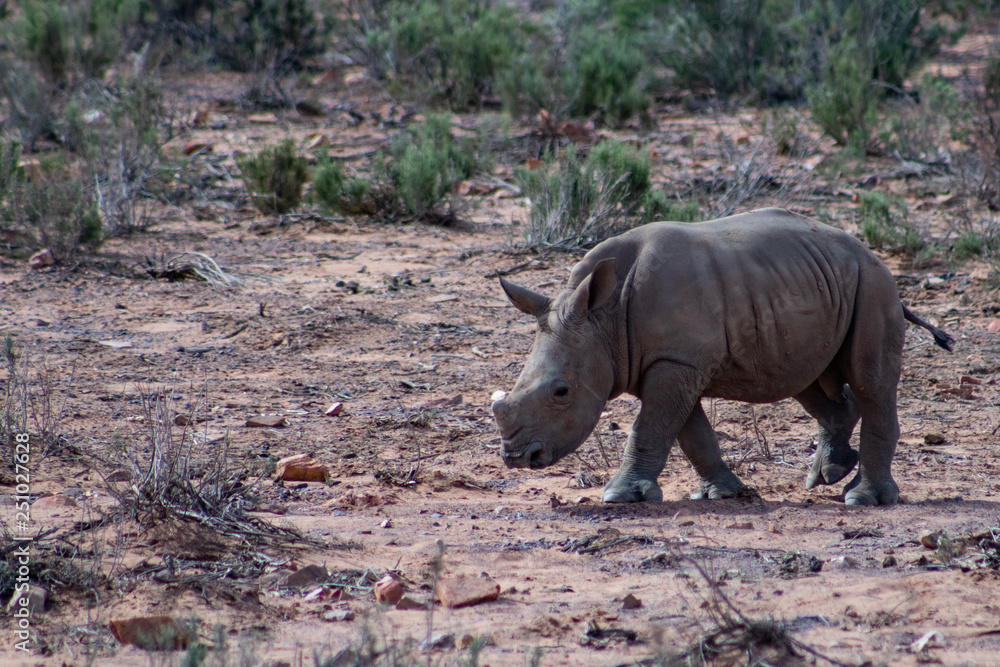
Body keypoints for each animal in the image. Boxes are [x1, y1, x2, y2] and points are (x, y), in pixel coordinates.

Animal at [491, 208, 953, 506]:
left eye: (561, 392)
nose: (517, 458)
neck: (601, 319)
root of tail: (869, 253)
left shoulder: (675, 362)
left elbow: (651, 427)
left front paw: (619, 496)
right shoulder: (671, 362)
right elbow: (689, 432)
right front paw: (722, 493)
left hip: (873, 285)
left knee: (869, 380)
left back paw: (862, 498)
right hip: (816, 283)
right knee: (807, 379)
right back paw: (827, 474)